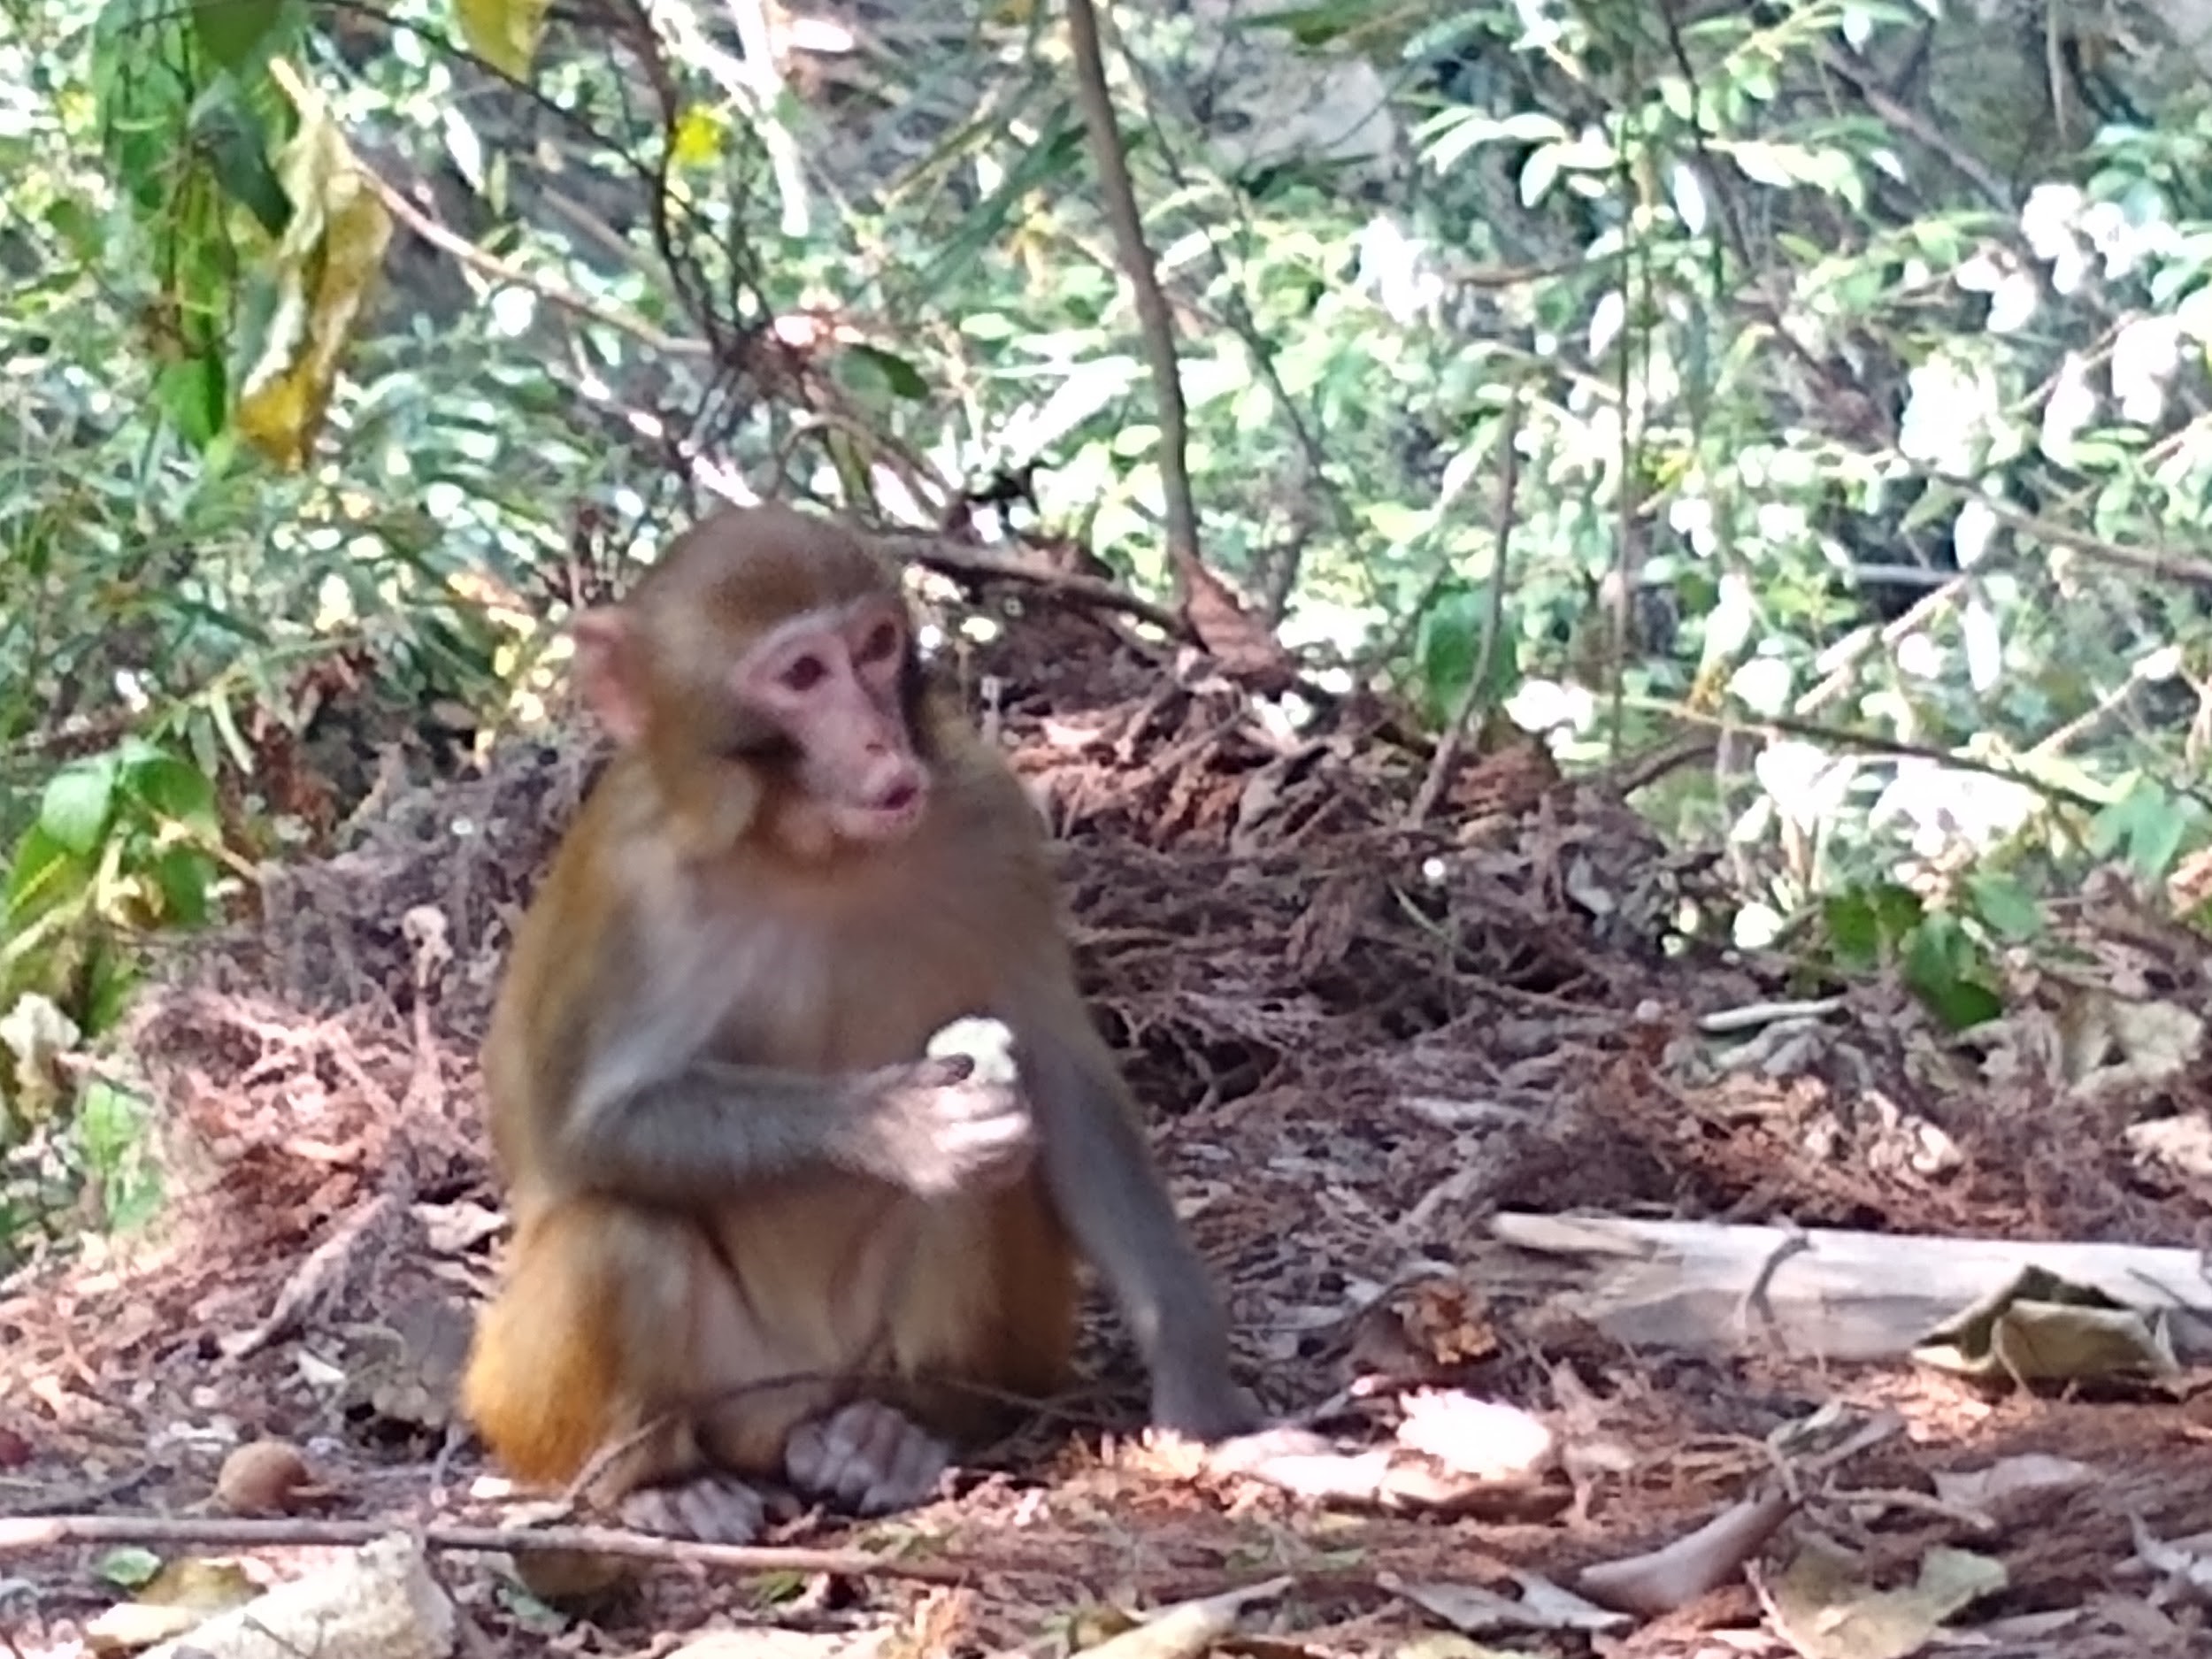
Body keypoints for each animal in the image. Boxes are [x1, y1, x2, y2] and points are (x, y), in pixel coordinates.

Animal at [459, 502, 1263, 1551]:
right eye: (802, 675)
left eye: (876, 647)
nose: (881, 745)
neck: (807, 850)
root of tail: (789, 1418)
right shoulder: (629, 892)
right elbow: (580, 1138)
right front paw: (895, 1127)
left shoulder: (988, 812)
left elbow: (1059, 1076)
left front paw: (1195, 1377)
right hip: (613, 1397)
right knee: (614, 1226)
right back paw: (656, 1482)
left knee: (997, 1172)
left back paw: (898, 1430)